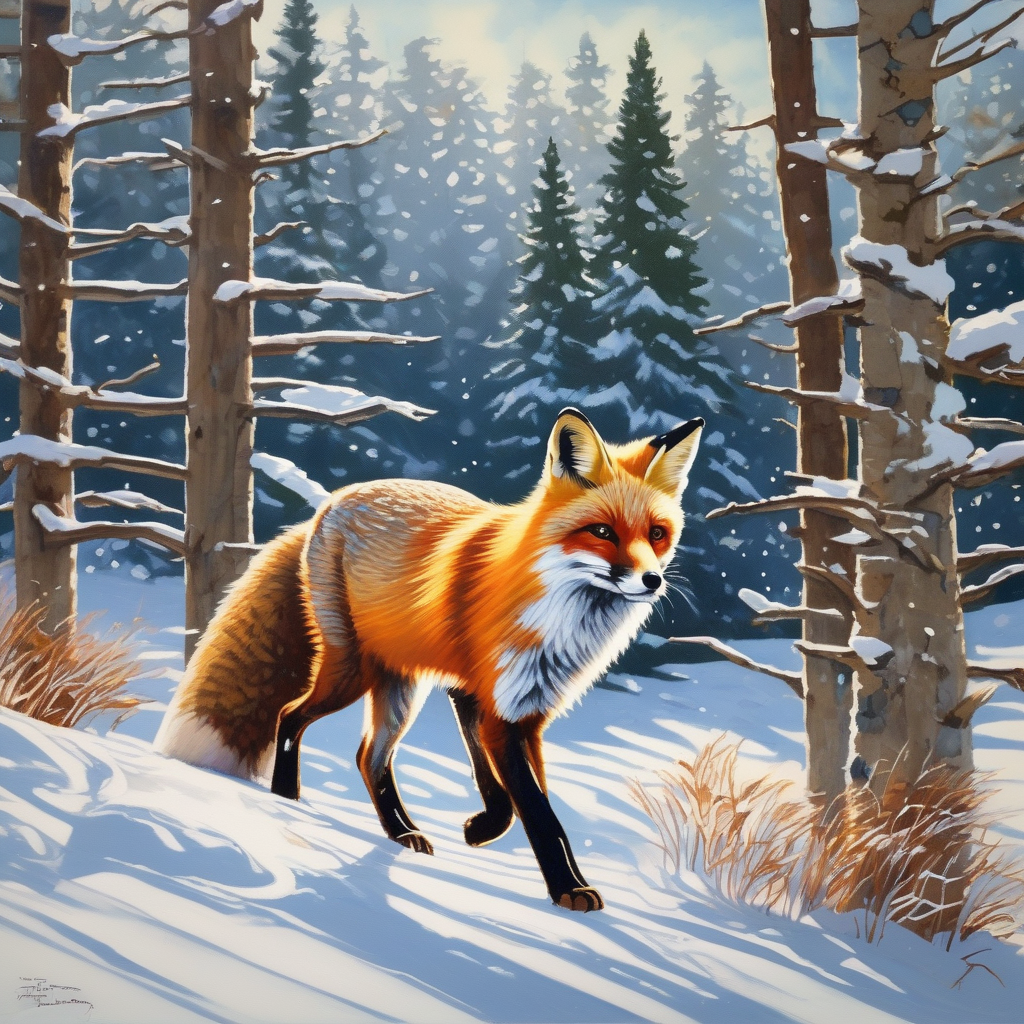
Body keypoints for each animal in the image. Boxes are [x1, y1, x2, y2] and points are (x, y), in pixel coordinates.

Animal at [155, 408, 702, 911]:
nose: (652, 580)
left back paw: (400, 834)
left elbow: (519, 797)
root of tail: (331, 502)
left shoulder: (517, 710)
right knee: (290, 717)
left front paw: (485, 830)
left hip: (401, 687)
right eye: (603, 533)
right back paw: (286, 800)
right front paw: (568, 889)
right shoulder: (497, 707)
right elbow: (540, 813)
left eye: (656, 533)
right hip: (351, 673)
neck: (555, 617)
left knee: (368, 756)